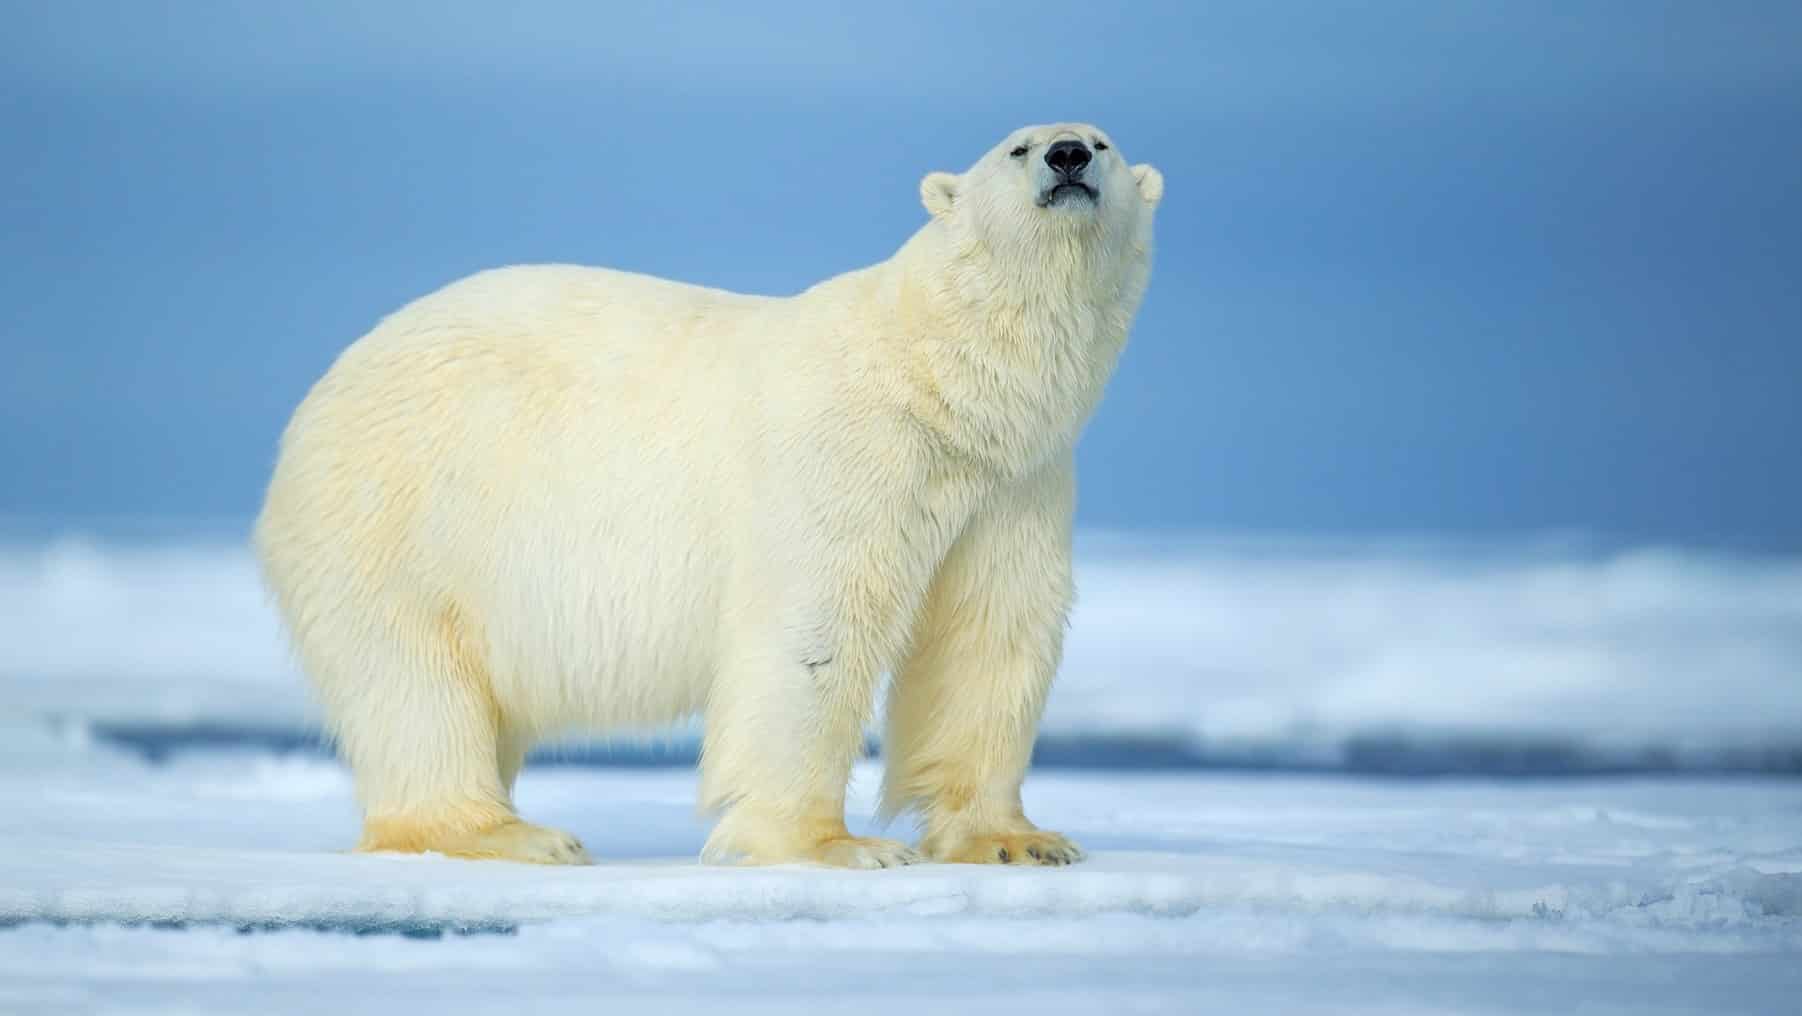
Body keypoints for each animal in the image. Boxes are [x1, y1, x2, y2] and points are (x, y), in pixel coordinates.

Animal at [254, 123, 1160, 868]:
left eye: (1103, 141)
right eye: (1018, 146)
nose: (1067, 157)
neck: (939, 379)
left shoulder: (1016, 484)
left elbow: (990, 634)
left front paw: (1018, 840)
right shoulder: (844, 453)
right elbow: (813, 628)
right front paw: (833, 845)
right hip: (399, 514)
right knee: (414, 685)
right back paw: (511, 833)